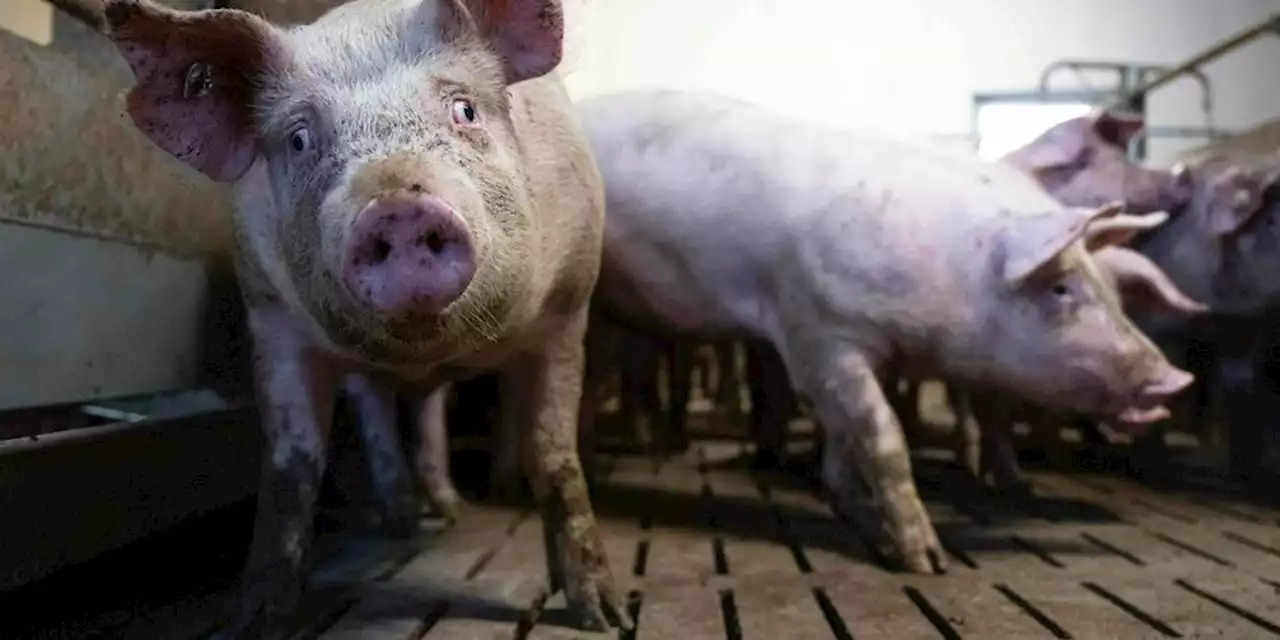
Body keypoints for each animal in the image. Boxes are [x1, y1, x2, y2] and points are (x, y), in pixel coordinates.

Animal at [52, 0, 632, 632]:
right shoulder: (272, 319)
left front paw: (605, 618)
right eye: (299, 139)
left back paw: (451, 513)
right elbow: (292, 465)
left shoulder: (567, 309)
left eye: (464, 109)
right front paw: (255, 621)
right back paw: (403, 522)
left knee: (430, 413)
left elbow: (553, 457)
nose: (399, 207)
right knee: (382, 414)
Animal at [576, 88, 1192, 570]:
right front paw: (927, 561)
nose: (1174, 380)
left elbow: (847, 435)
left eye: (1106, 289)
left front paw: (860, 520)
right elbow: (883, 435)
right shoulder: (817, 329)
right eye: (1061, 289)